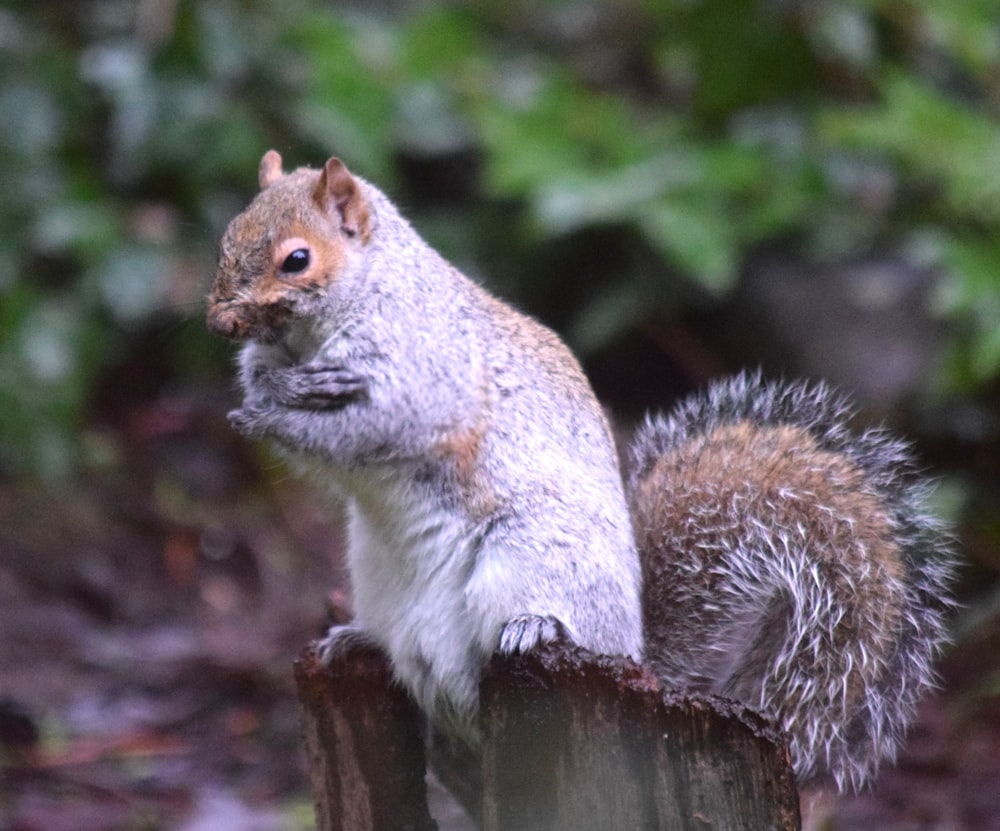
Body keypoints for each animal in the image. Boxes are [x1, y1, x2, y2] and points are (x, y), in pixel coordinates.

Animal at [203, 150, 952, 792]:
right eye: (228, 237)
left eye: (297, 259)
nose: (218, 320)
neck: (317, 331)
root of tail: (635, 653)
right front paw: (264, 392)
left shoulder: (424, 371)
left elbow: (378, 427)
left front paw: (269, 418)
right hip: (379, 575)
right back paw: (357, 636)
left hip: (531, 552)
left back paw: (537, 628)